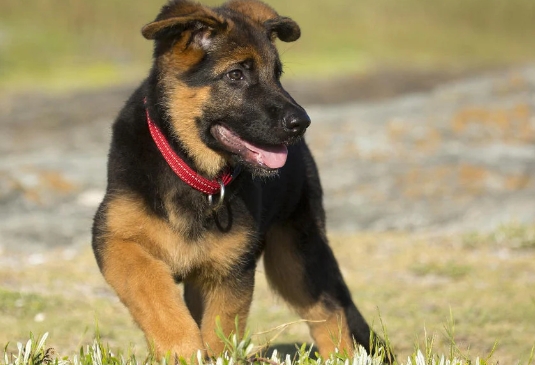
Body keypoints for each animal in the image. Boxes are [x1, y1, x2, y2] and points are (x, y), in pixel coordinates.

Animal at [92, 0, 394, 360]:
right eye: (236, 75)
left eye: (277, 74)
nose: (302, 122)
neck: (194, 172)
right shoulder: (115, 242)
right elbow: (155, 293)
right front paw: (183, 350)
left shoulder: (232, 270)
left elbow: (220, 333)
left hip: (297, 257)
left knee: (330, 312)